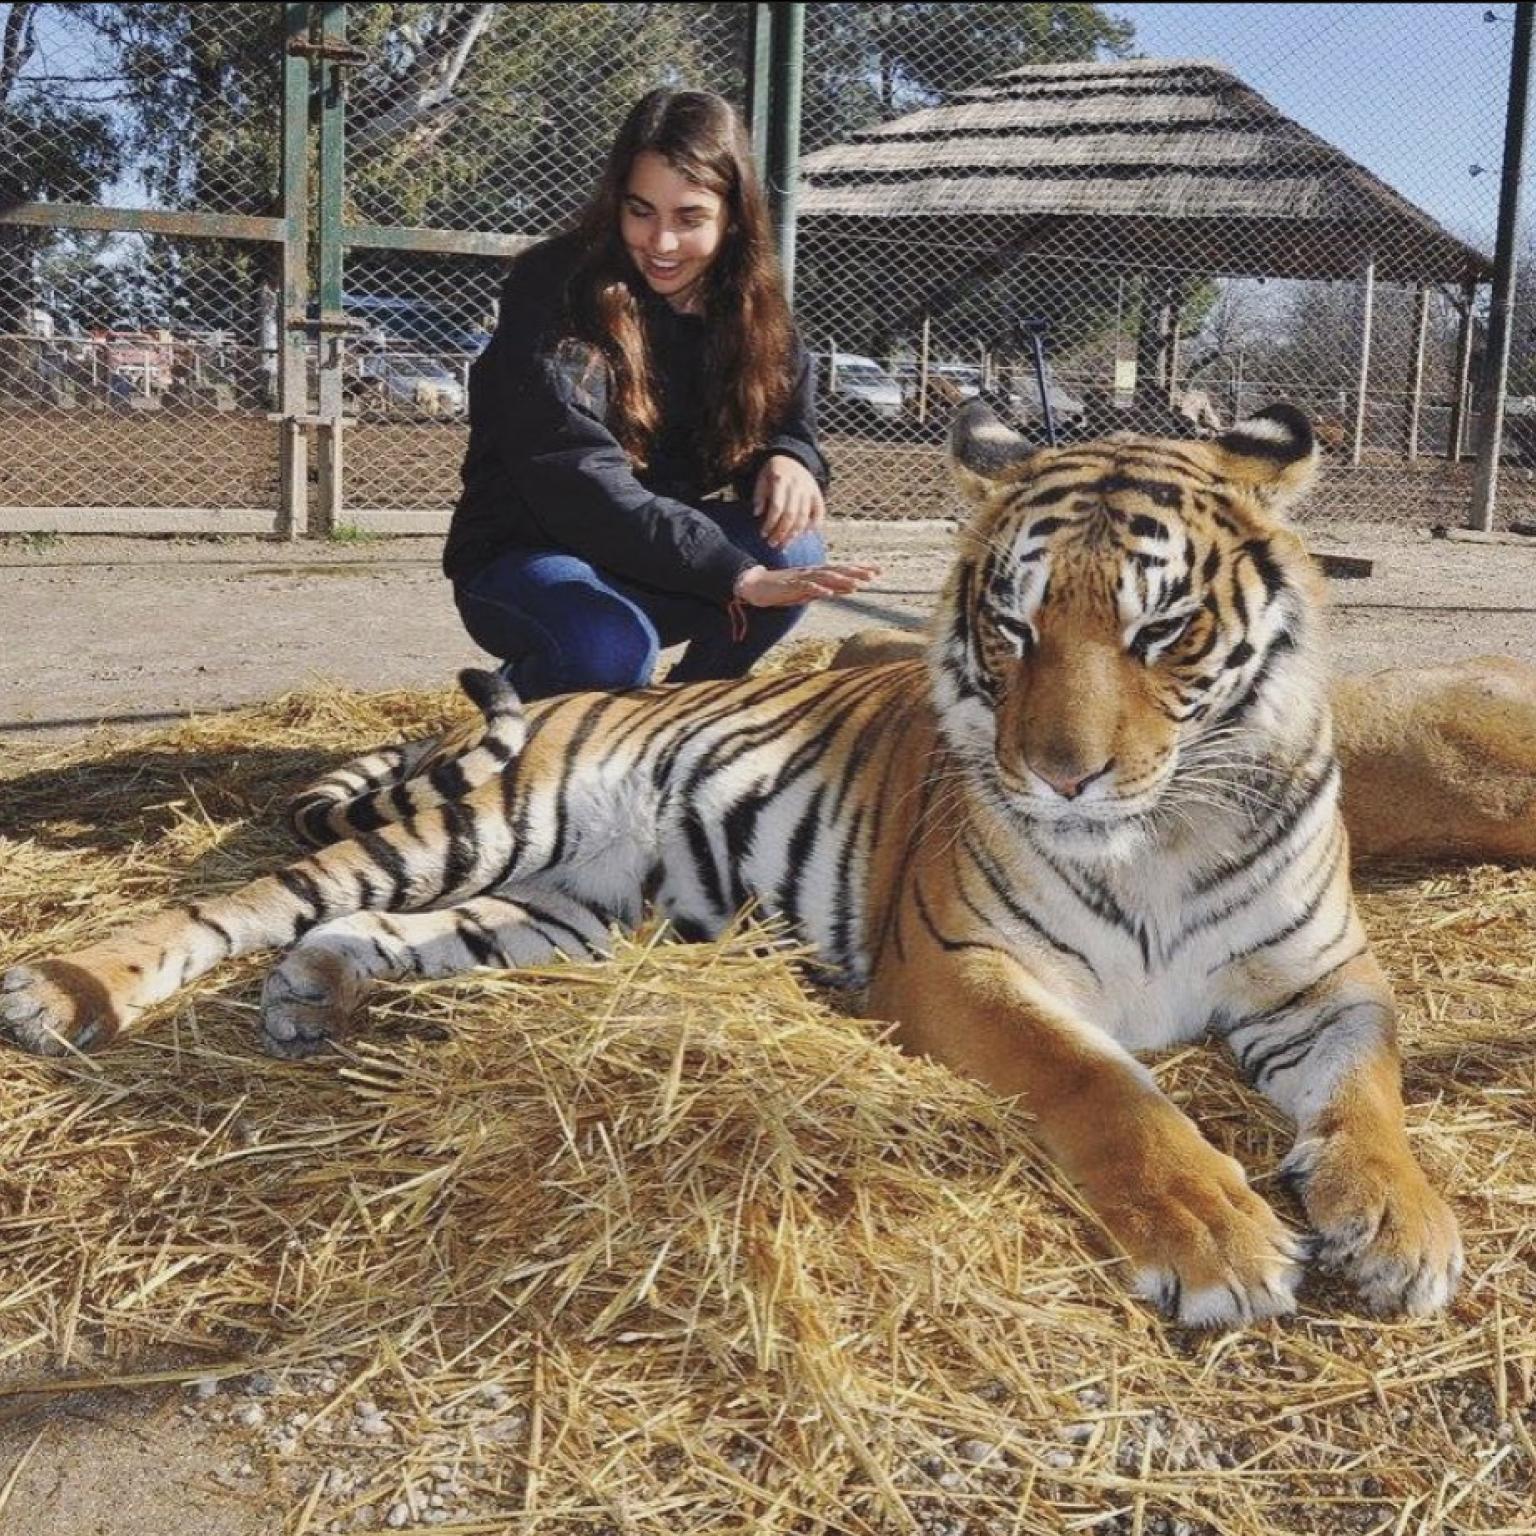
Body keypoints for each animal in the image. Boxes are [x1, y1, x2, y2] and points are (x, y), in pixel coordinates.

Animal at [0, 402, 1462, 1327]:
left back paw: (318, 993)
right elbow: (1108, 1088)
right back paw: (68, 989)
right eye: (1012, 623)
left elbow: (1373, 1089)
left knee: (381, 934)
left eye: (1164, 630)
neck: (1160, 834)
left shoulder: (1324, 980)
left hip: (560, 912)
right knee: (249, 898)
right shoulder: (960, 967)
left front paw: (1403, 1229)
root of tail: (585, 699)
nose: (1059, 775)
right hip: (481, 825)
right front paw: (1218, 1236)